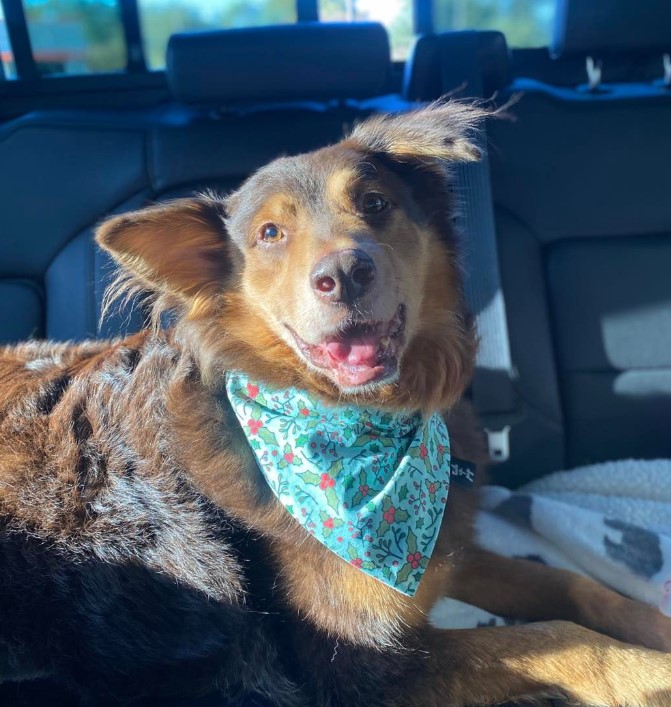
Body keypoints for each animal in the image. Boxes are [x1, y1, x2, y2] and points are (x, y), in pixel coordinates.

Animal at [1, 102, 671, 704]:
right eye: (270, 234)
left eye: (374, 203)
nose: (345, 274)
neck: (363, 421)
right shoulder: (354, 667)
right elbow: (562, 639)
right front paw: (651, 672)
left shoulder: (448, 552)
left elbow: (576, 588)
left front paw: (655, 626)